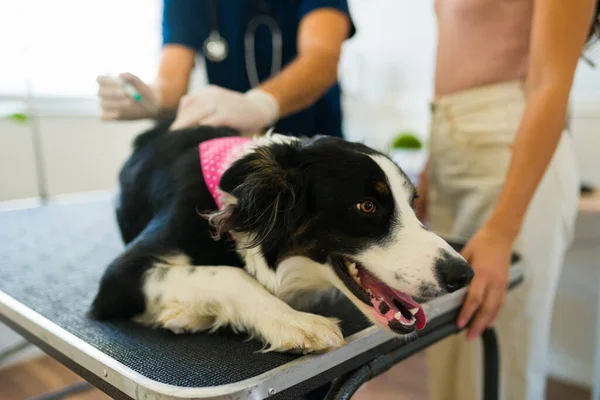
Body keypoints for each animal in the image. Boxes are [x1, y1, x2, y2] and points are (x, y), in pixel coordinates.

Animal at [89, 122, 474, 354]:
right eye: (367, 206)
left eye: (412, 204)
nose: (464, 274)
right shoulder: (120, 274)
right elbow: (230, 274)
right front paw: (296, 322)